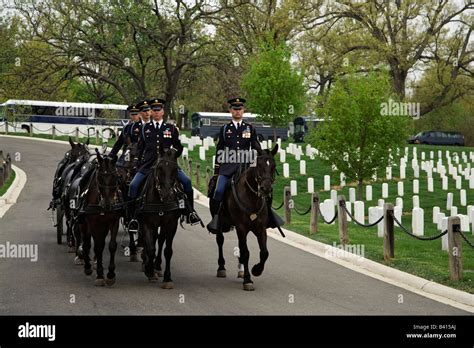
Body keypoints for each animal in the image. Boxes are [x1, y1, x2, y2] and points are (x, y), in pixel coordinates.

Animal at [137, 148, 185, 290]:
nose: (167, 195)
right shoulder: (146, 223)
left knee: (160, 239)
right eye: (159, 168)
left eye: (176, 170)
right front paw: (149, 271)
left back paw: (157, 266)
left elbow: (167, 251)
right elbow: (151, 248)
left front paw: (167, 278)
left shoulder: (171, 224)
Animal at [211, 144, 278, 290]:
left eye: (273, 166)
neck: (252, 197)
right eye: (259, 165)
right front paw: (248, 279)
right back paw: (221, 267)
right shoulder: (241, 227)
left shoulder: (260, 228)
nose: (266, 189)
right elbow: (246, 252)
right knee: (220, 240)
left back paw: (240, 270)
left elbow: (264, 252)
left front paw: (256, 270)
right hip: (220, 224)